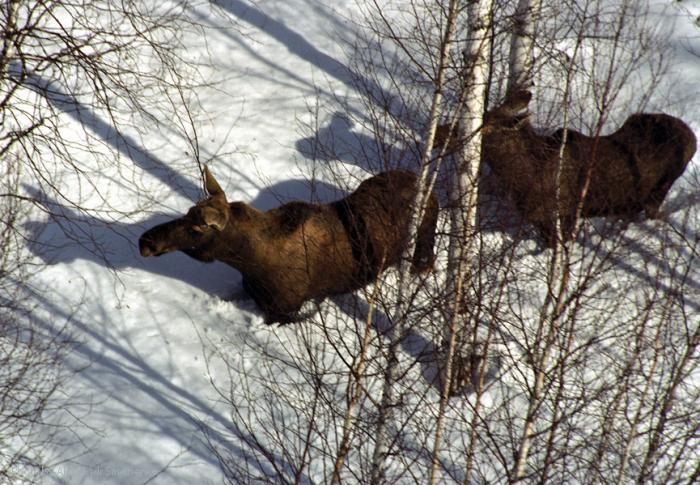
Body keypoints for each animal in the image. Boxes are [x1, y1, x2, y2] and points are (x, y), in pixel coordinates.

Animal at [137, 165, 438, 322]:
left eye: (195, 228)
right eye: (187, 212)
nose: (145, 240)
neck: (248, 262)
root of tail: (426, 184)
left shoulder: (283, 311)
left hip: (424, 244)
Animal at [434, 90, 696, 246]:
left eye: (484, 126)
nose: (439, 134)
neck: (522, 177)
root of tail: (692, 137)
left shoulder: (564, 215)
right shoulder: (540, 220)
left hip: (658, 193)